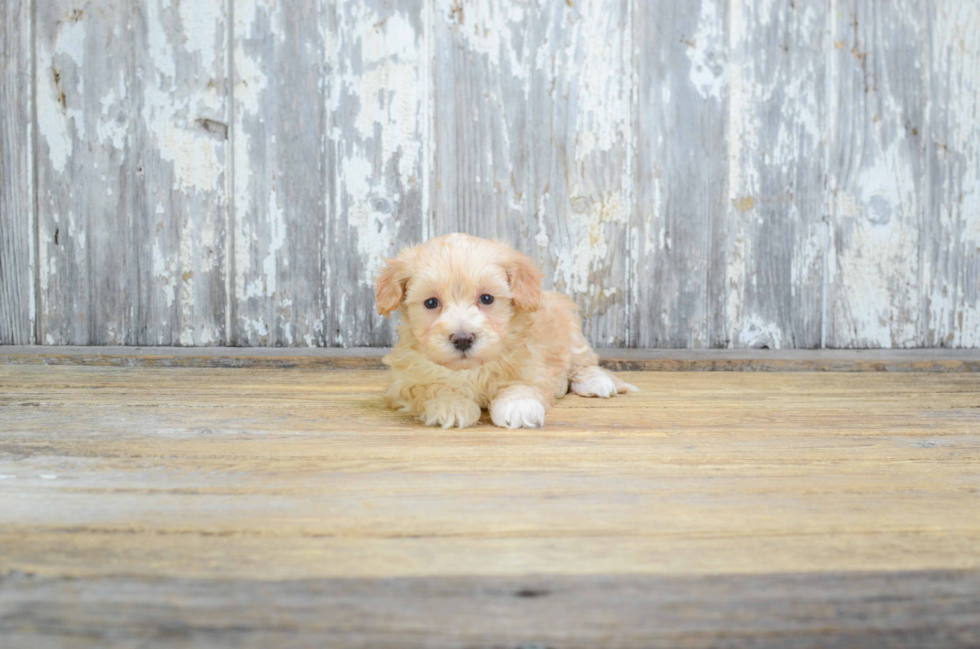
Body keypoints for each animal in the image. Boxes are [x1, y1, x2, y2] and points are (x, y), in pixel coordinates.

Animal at [376, 234, 636, 430]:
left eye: (486, 298)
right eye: (431, 303)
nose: (463, 339)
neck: (472, 369)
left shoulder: (531, 362)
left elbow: (520, 385)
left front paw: (518, 406)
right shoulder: (405, 380)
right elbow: (430, 387)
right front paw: (450, 404)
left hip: (572, 332)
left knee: (583, 362)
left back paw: (594, 382)